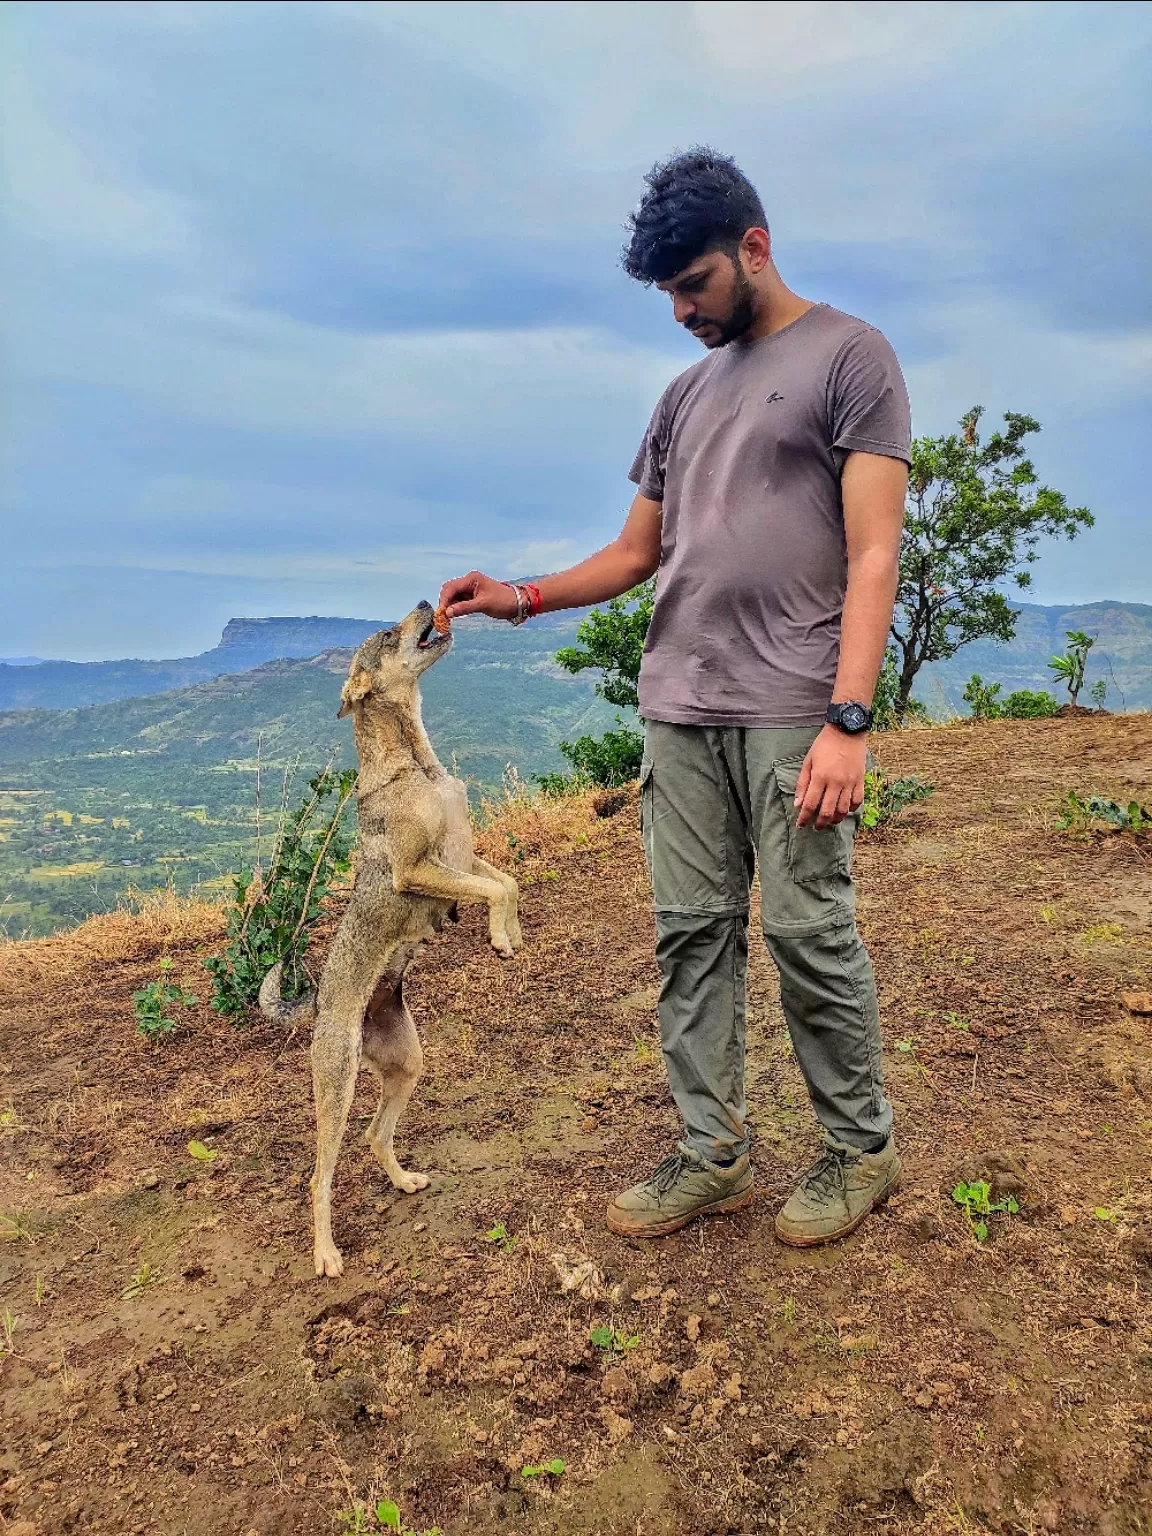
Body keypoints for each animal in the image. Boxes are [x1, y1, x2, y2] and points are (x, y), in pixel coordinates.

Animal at [261, 599, 522, 1271]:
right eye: (385, 633)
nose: (430, 602)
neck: (416, 765)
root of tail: (320, 1009)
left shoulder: (463, 855)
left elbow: (506, 882)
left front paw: (509, 934)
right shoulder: (420, 870)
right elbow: (494, 891)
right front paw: (500, 937)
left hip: (407, 1065)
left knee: (377, 1136)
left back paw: (403, 1180)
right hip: (338, 1083)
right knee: (319, 1176)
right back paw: (327, 1254)